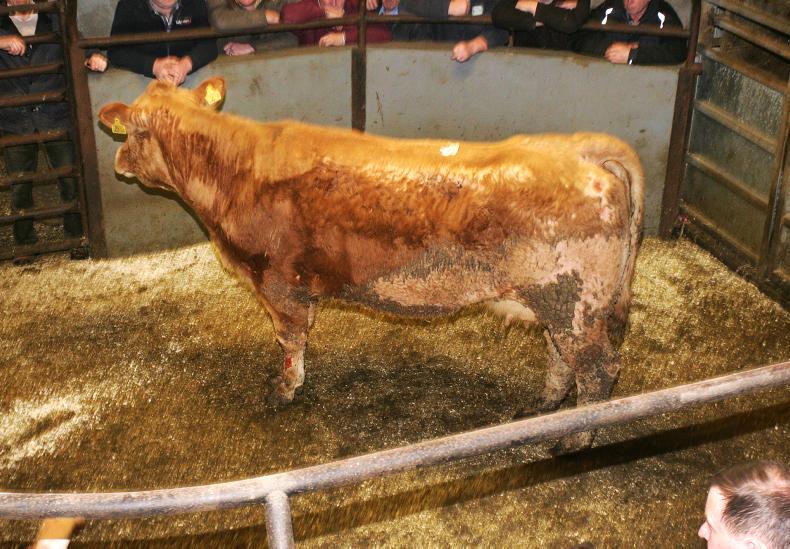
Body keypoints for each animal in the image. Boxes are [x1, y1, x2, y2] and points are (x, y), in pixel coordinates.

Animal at [99, 77, 644, 452]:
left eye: (136, 131)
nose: (117, 164)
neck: (234, 172)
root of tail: (579, 148)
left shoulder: (279, 282)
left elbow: (290, 342)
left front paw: (283, 391)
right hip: (561, 303)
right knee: (561, 358)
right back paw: (544, 409)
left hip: (573, 301)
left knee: (597, 368)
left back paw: (573, 438)